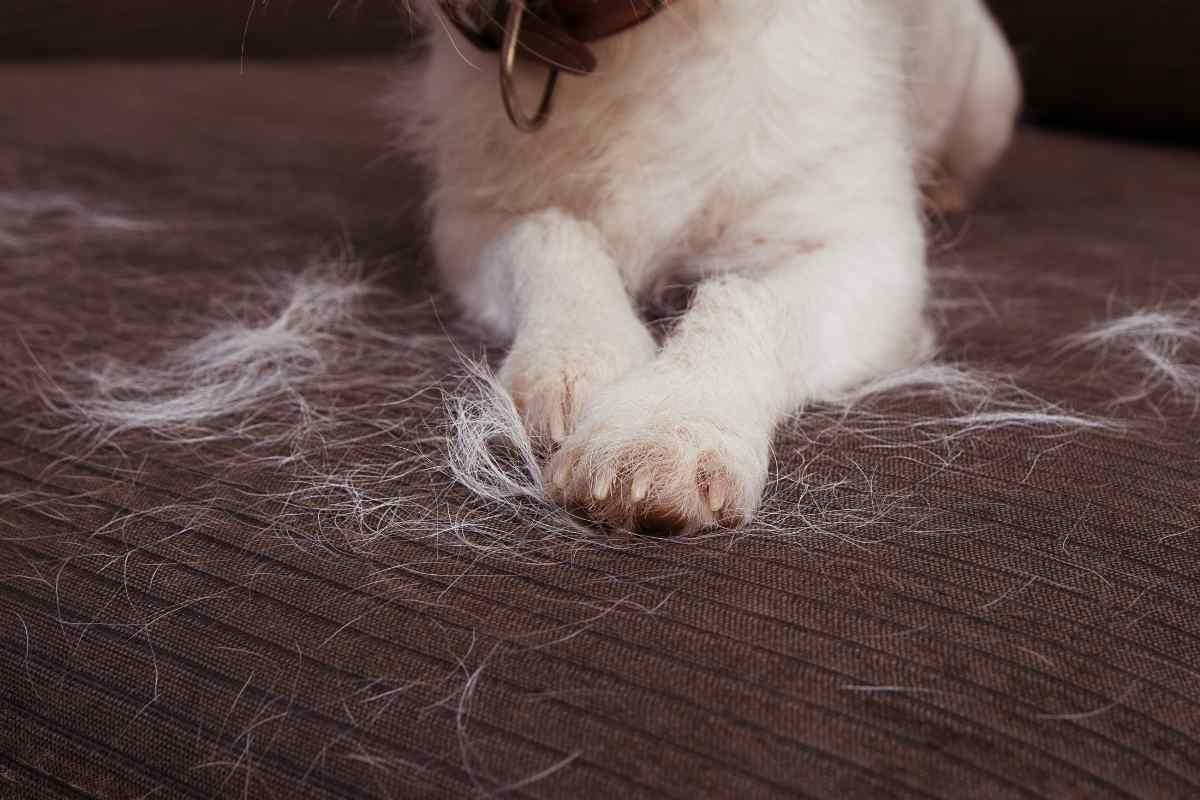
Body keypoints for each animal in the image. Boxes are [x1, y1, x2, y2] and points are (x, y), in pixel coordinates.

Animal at [398, 3, 1017, 534]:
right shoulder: (471, 223)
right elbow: (552, 234)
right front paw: (575, 356)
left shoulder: (870, 254)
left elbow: (749, 301)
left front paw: (667, 424)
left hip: (989, 93)